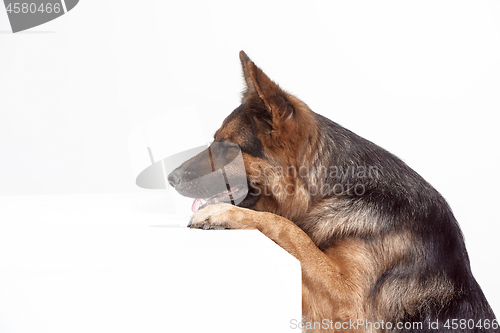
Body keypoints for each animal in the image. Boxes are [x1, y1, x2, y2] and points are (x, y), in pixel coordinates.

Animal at [168, 50, 496, 330]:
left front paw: (221, 213)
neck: (331, 192)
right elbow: (291, 229)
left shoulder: (347, 301)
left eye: (225, 147)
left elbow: (289, 229)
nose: (170, 178)